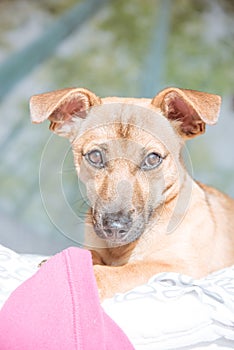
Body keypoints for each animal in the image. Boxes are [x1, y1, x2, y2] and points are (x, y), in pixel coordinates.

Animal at [30, 86, 234, 300]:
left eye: (153, 159)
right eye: (95, 156)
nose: (114, 227)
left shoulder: (178, 267)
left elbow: (123, 271)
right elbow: (87, 253)